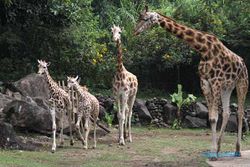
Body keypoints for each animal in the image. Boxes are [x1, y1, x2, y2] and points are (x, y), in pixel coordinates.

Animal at [134, 6, 249, 160]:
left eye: (146, 19)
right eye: (139, 17)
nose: (135, 31)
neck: (204, 49)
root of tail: (243, 63)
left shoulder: (215, 82)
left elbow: (215, 117)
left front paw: (213, 153)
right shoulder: (205, 82)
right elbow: (212, 118)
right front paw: (213, 151)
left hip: (242, 83)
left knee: (240, 112)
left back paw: (237, 150)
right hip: (228, 87)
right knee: (227, 112)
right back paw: (220, 148)